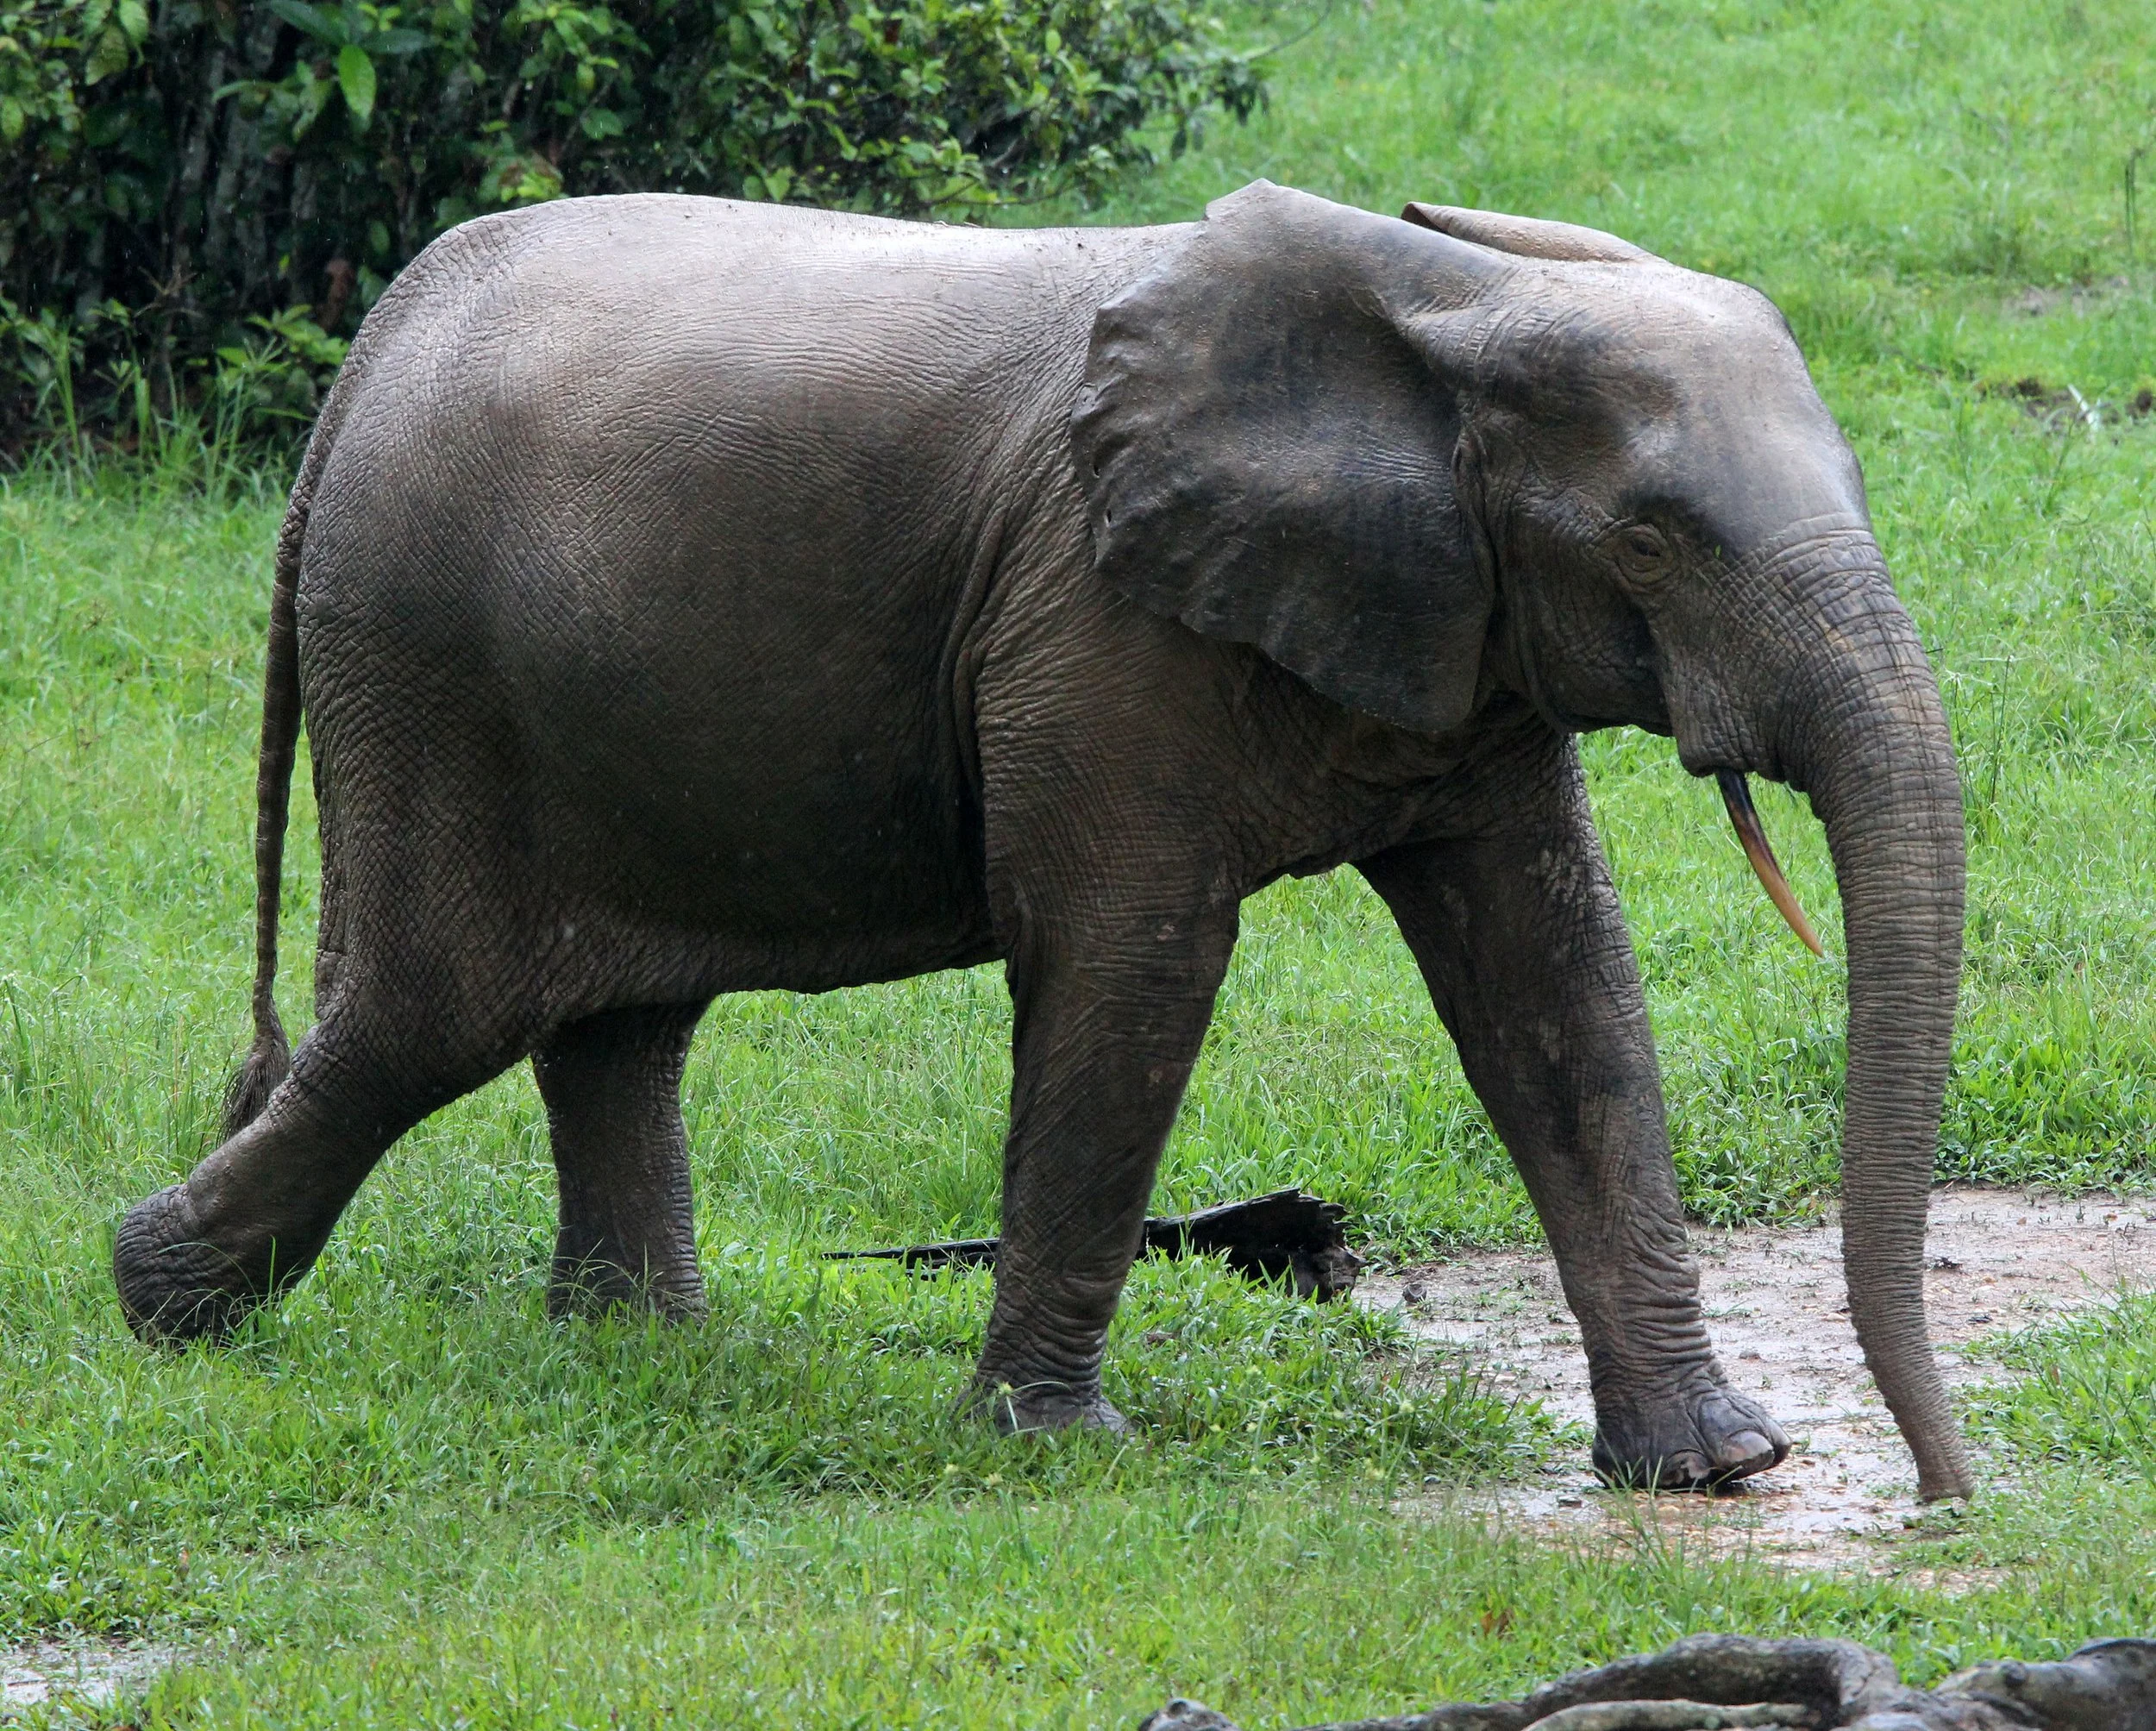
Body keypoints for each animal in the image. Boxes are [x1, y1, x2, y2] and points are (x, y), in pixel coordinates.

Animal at [113, 180, 1972, 1500]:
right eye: (1651, 542)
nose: (1942, 1496)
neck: (1452, 298)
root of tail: (366, 356)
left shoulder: (1463, 631)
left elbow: (1555, 980)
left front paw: (1717, 1465)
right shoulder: (1096, 623)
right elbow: (1135, 960)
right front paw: (1055, 1453)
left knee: (611, 1023)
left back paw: (641, 1349)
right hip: (427, 668)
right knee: (425, 1017)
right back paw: (162, 1304)